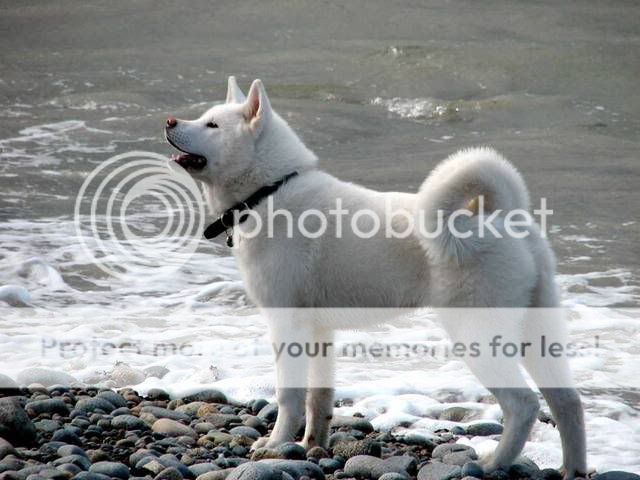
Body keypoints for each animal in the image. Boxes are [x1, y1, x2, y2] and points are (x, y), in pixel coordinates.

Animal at [165, 76, 587, 478]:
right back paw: (573, 469)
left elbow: (289, 395)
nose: (169, 121)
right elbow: (319, 397)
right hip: (536, 330)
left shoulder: (287, 325)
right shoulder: (319, 332)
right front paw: (311, 445)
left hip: (478, 336)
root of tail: (504, 216)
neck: (268, 192)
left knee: (523, 405)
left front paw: (275, 445)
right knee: (567, 401)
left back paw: (492, 462)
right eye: (203, 117)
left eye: (212, 124)